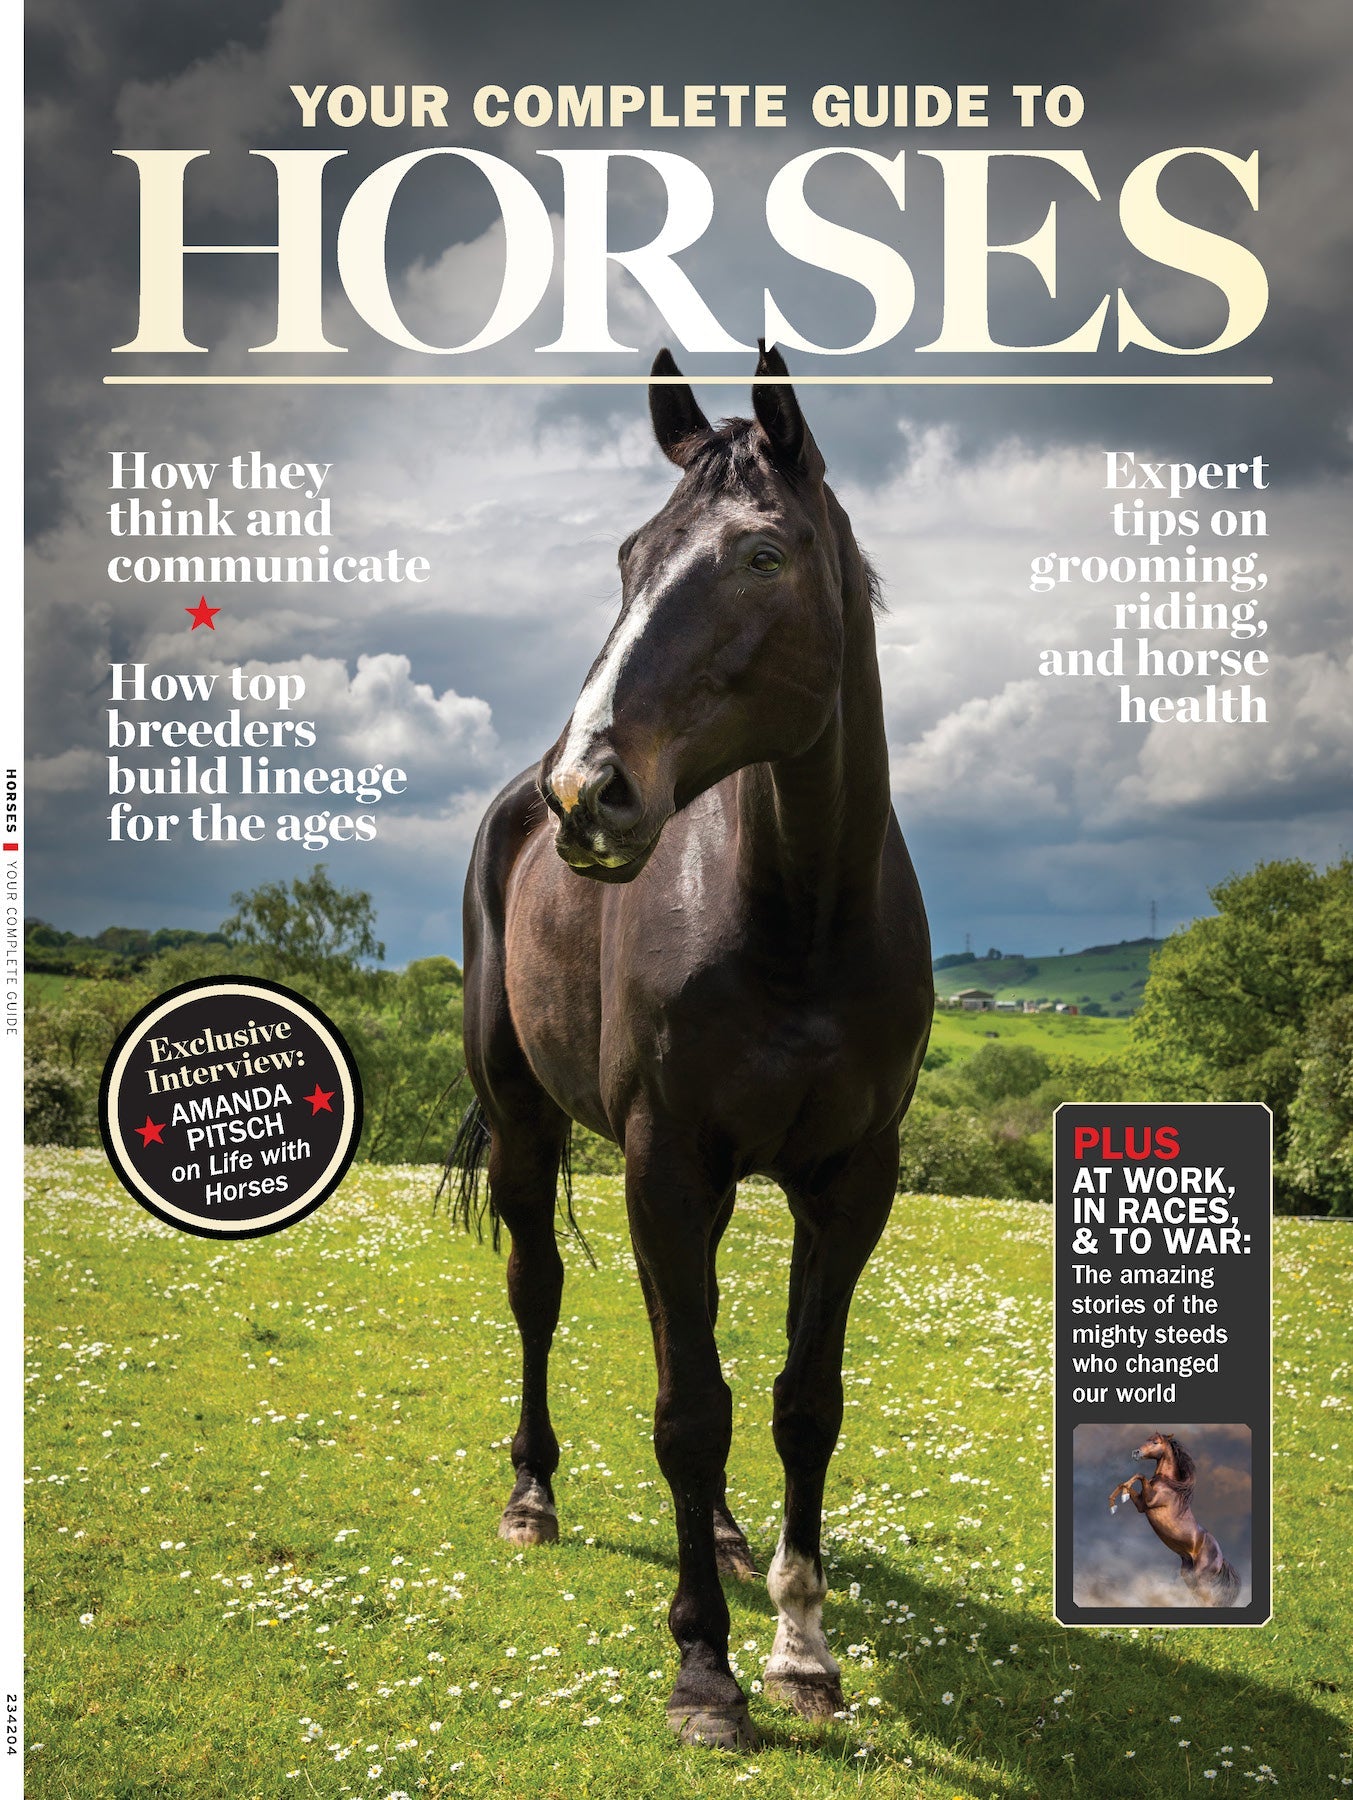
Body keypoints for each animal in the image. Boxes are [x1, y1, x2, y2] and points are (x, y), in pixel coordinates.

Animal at [456, 344, 933, 1749]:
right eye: (630, 555)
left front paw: (801, 1650)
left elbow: (796, 1407)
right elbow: (685, 1411)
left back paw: (721, 1537)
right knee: (541, 1294)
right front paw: (706, 1672)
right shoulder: (662, 1166)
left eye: (763, 554)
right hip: (529, 1126)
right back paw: (533, 1499)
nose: (589, 791)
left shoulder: (851, 1183)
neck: (800, 916)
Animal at [1109, 1430, 1241, 1606]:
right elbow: (1124, 1484)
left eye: (1156, 1442)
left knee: (1208, 1600)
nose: (1136, 1453)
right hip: (1189, 1577)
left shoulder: (1149, 1501)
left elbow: (1139, 1475)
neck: (1168, 1484)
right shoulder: (1141, 1505)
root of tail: (1221, 1558)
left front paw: (1121, 1498)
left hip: (1201, 1578)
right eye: (1147, 1439)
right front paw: (1113, 1505)